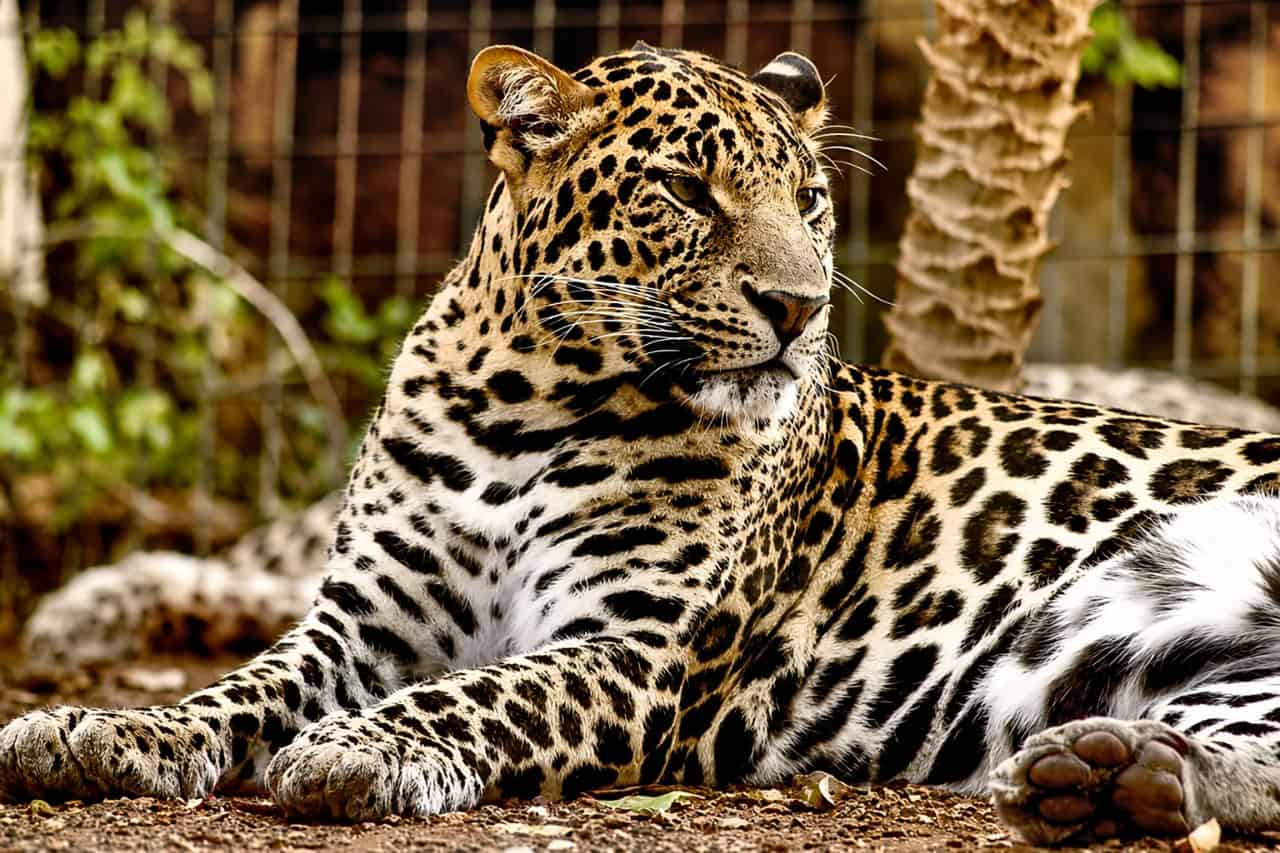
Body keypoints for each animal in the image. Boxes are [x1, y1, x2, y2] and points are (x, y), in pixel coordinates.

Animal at [6, 43, 1280, 846]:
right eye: (685, 192)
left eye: (809, 202)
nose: (800, 307)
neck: (516, 407)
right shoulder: (361, 621)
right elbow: (237, 688)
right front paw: (98, 727)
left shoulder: (635, 649)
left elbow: (479, 693)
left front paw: (361, 748)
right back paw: (1111, 779)